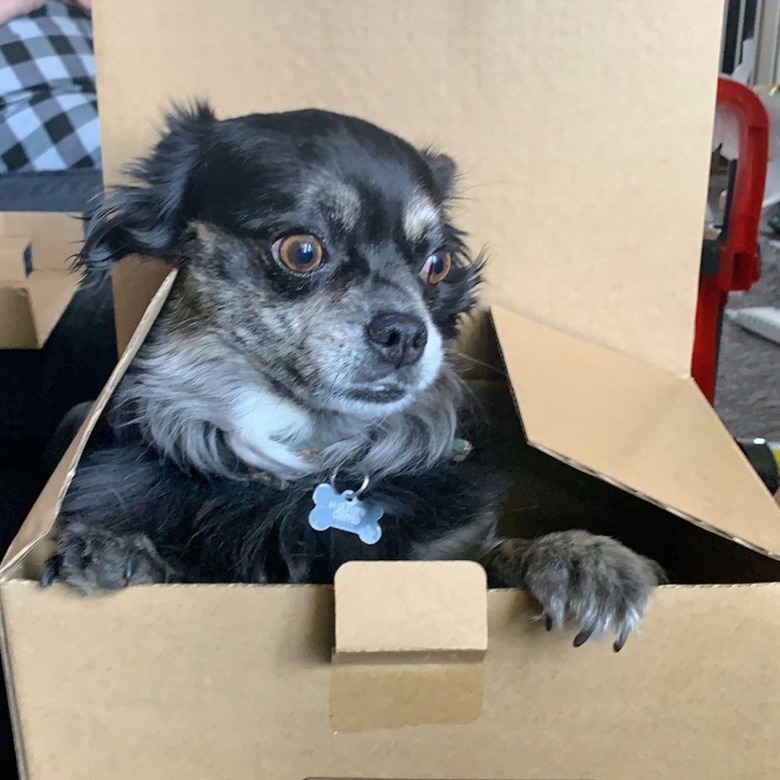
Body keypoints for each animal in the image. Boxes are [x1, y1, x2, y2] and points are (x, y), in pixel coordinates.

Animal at [42, 103, 664, 652]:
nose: (408, 333)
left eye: (436, 265)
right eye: (301, 250)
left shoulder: (444, 560)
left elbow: (490, 556)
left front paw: (581, 556)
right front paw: (119, 553)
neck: (313, 456)